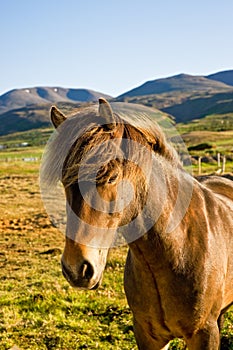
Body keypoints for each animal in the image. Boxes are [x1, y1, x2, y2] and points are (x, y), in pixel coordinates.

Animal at [42, 99, 233, 350]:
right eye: (64, 180)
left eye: (111, 177)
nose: (76, 269)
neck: (177, 249)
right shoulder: (147, 335)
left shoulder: (204, 334)